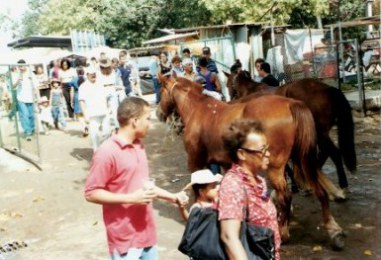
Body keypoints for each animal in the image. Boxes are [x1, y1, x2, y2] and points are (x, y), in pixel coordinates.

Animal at [156, 76, 346, 250]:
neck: (198, 110)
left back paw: (284, 232)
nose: (158, 113)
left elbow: (199, 190)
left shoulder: (196, 163)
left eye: (161, 89)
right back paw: (333, 228)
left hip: (276, 168)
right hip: (303, 160)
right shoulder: (227, 164)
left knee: (286, 196)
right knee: (319, 191)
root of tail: (291, 104)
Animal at [224, 70, 354, 190]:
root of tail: (329, 89)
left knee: (332, 152)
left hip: (320, 132)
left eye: (228, 84)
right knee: (325, 152)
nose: (230, 97)